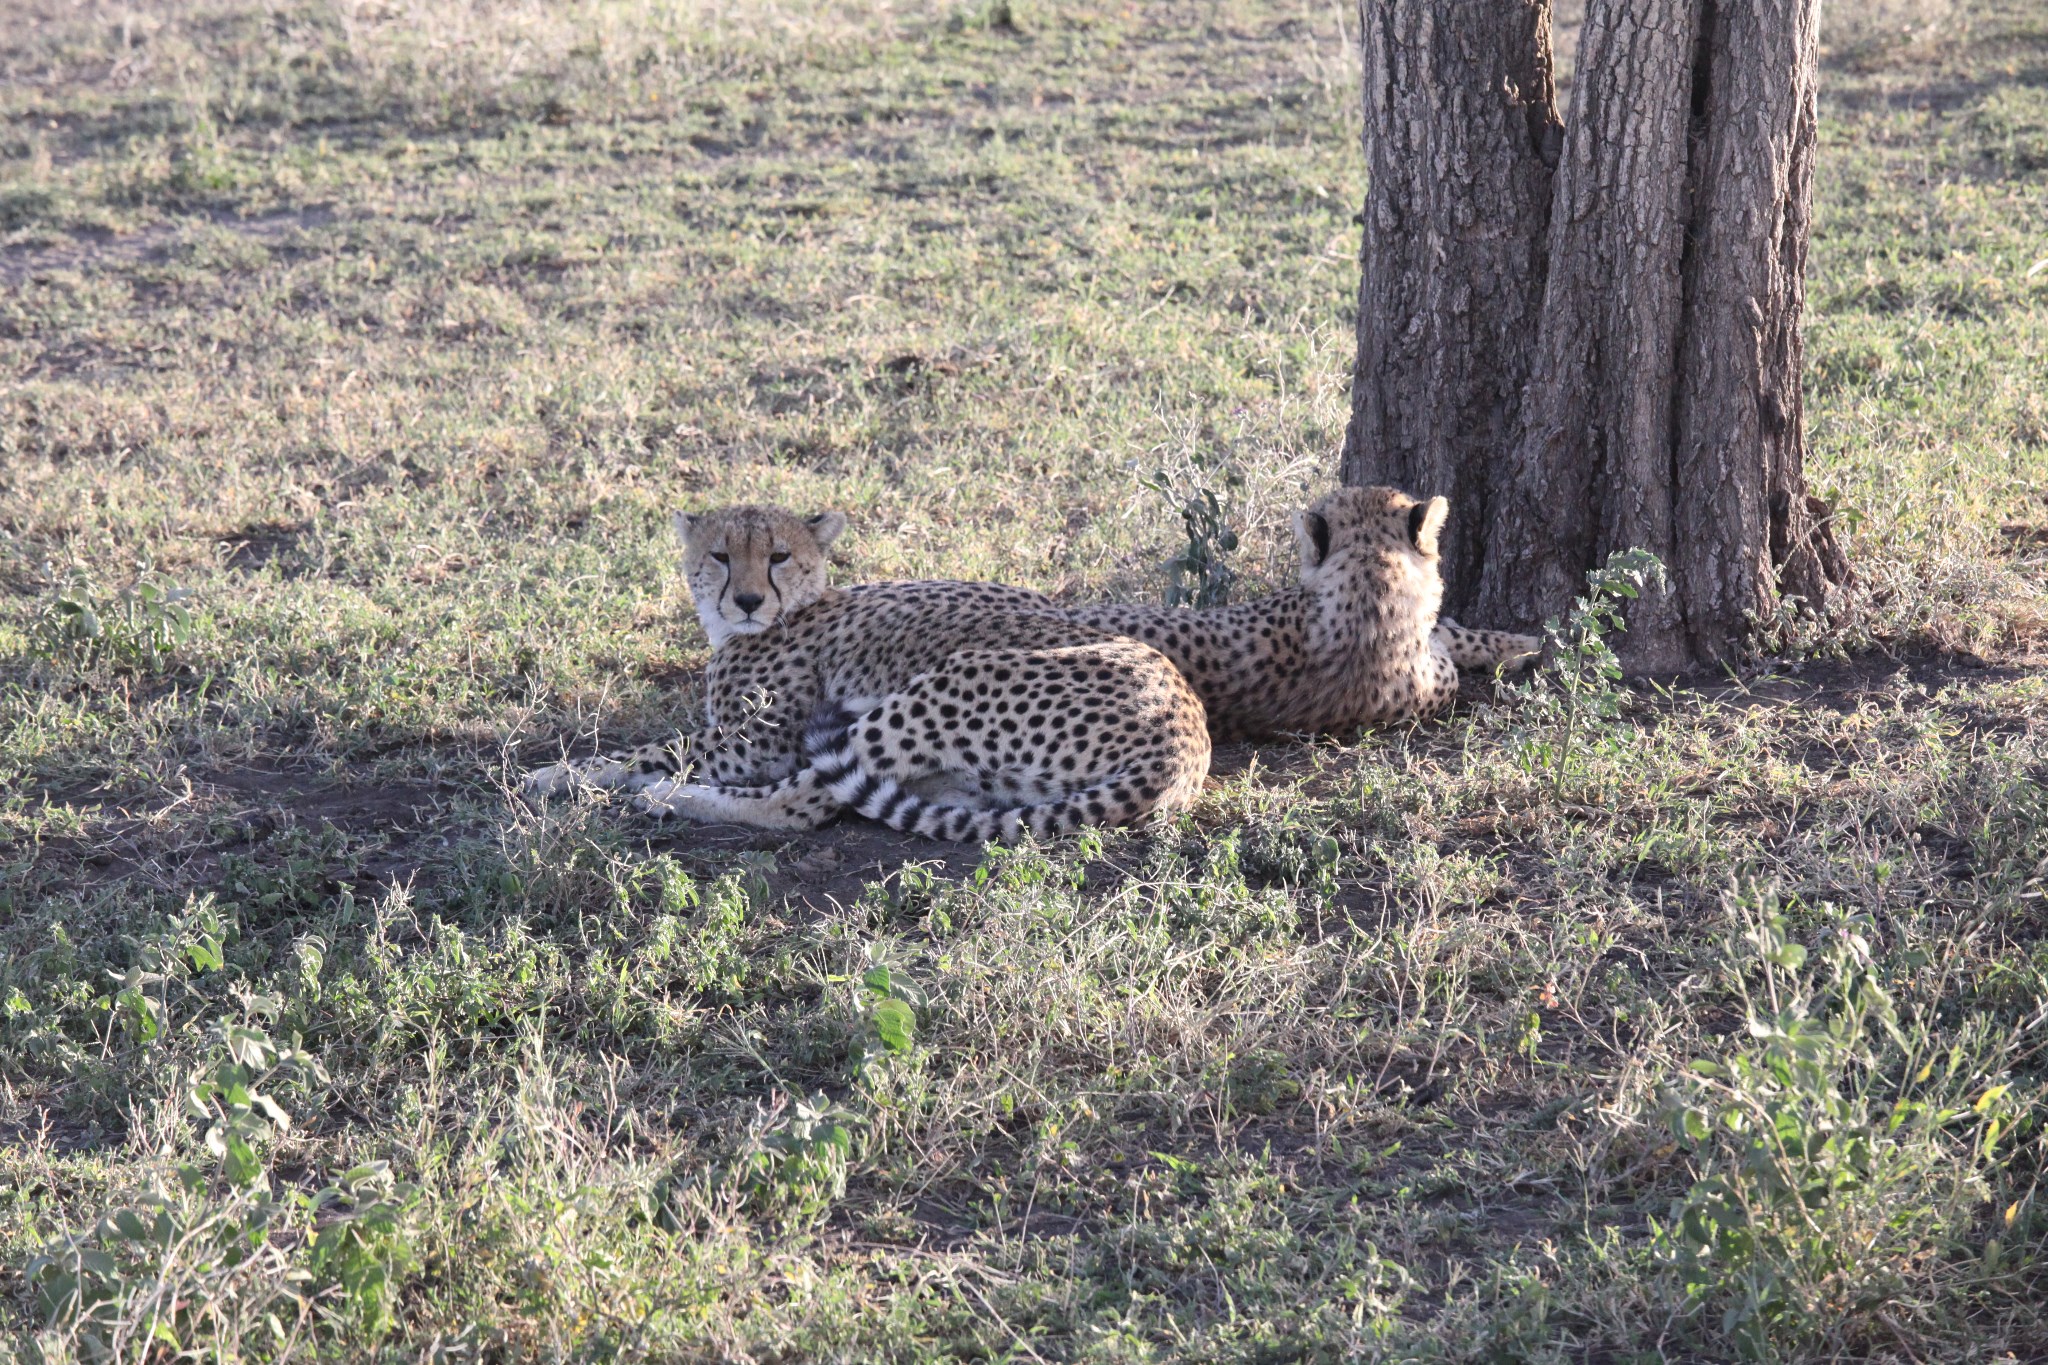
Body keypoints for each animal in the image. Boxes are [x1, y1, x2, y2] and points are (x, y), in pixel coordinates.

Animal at [520, 505, 1212, 843]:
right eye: (719, 555)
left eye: (778, 556)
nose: (747, 600)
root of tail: (1185, 736)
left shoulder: (758, 745)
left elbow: (650, 748)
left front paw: (561, 774)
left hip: (946, 684)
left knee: (802, 801)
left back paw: (674, 798)